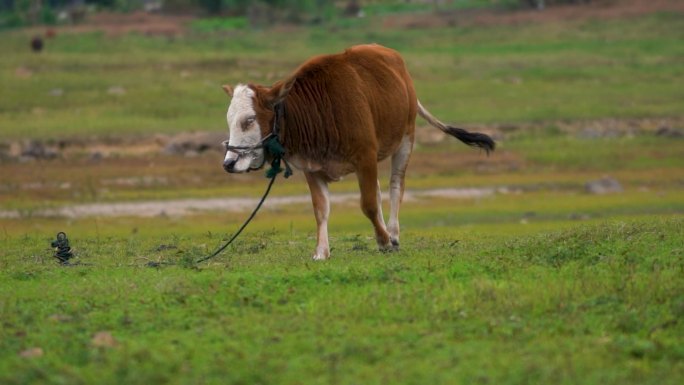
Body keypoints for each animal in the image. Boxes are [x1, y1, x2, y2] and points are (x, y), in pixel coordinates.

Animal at [222, 44, 494, 260]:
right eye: (230, 120)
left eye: (249, 120)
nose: (228, 163)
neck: (319, 109)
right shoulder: (314, 169)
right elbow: (321, 209)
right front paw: (321, 251)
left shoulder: (365, 158)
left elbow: (369, 205)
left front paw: (385, 241)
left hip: (406, 139)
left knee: (395, 187)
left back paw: (393, 233)